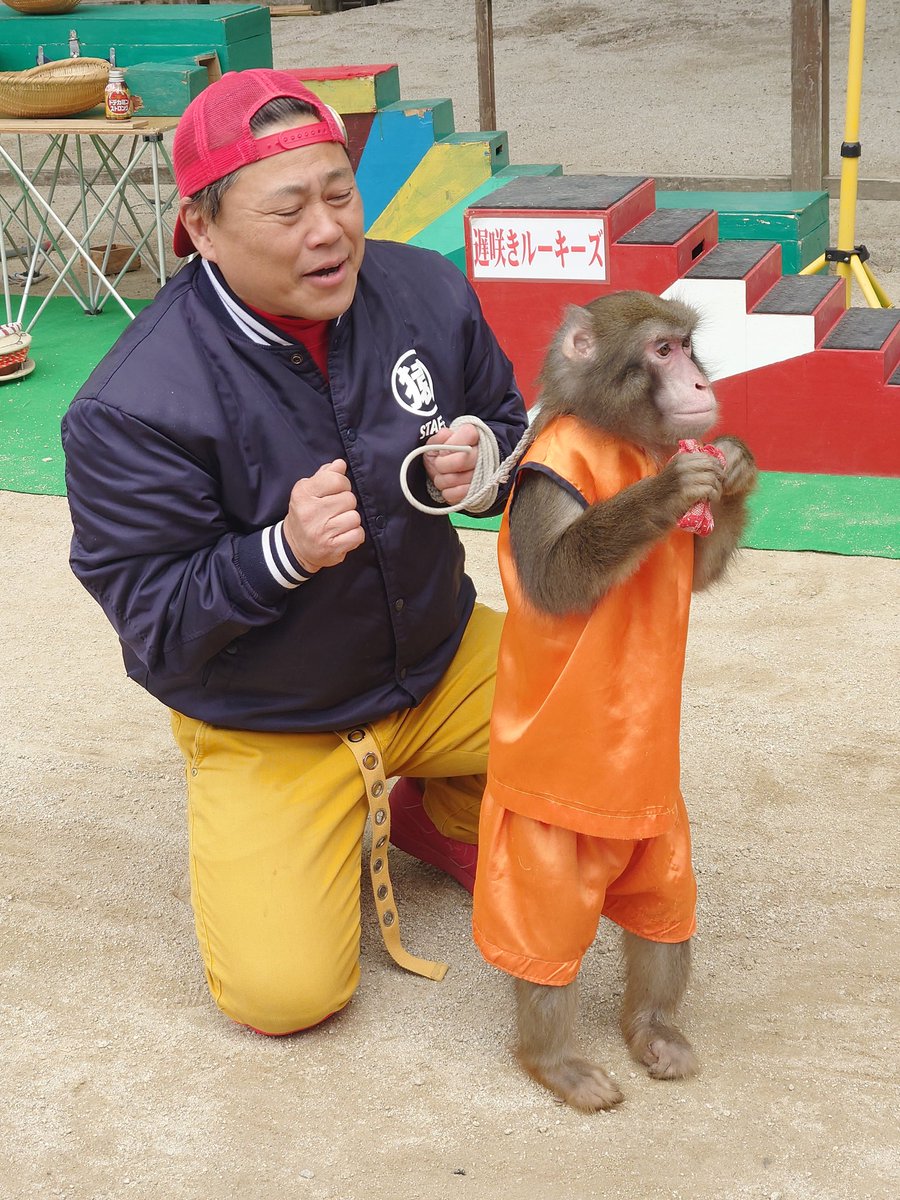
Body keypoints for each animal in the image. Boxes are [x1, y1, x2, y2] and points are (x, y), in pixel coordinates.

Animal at [471, 290, 757, 1113]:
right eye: (661, 351)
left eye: (688, 346)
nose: (699, 381)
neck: (618, 435)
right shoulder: (544, 482)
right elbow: (557, 581)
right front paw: (663, 493)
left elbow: (698, 571)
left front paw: (733, 464)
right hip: (534, 846)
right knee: (542, 937)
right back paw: (551, 1059)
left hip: (657, 829)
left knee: (664, 906)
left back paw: (652, 1027)